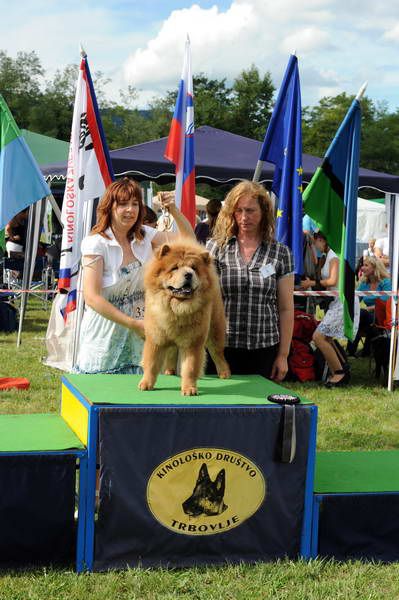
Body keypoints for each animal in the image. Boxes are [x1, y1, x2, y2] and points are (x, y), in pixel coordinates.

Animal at [138, 237, 230, 396]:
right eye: (175, 268)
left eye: (194, 268)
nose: (188, 274)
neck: (177, 308)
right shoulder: (156, 339)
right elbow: (151, 364)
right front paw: (145, 384)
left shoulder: (193, 342)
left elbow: (190, 368)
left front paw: (189, 389)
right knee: (171, 352)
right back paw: (169, 371)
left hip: (215, 332)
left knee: (218, 354)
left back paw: (224, 373)